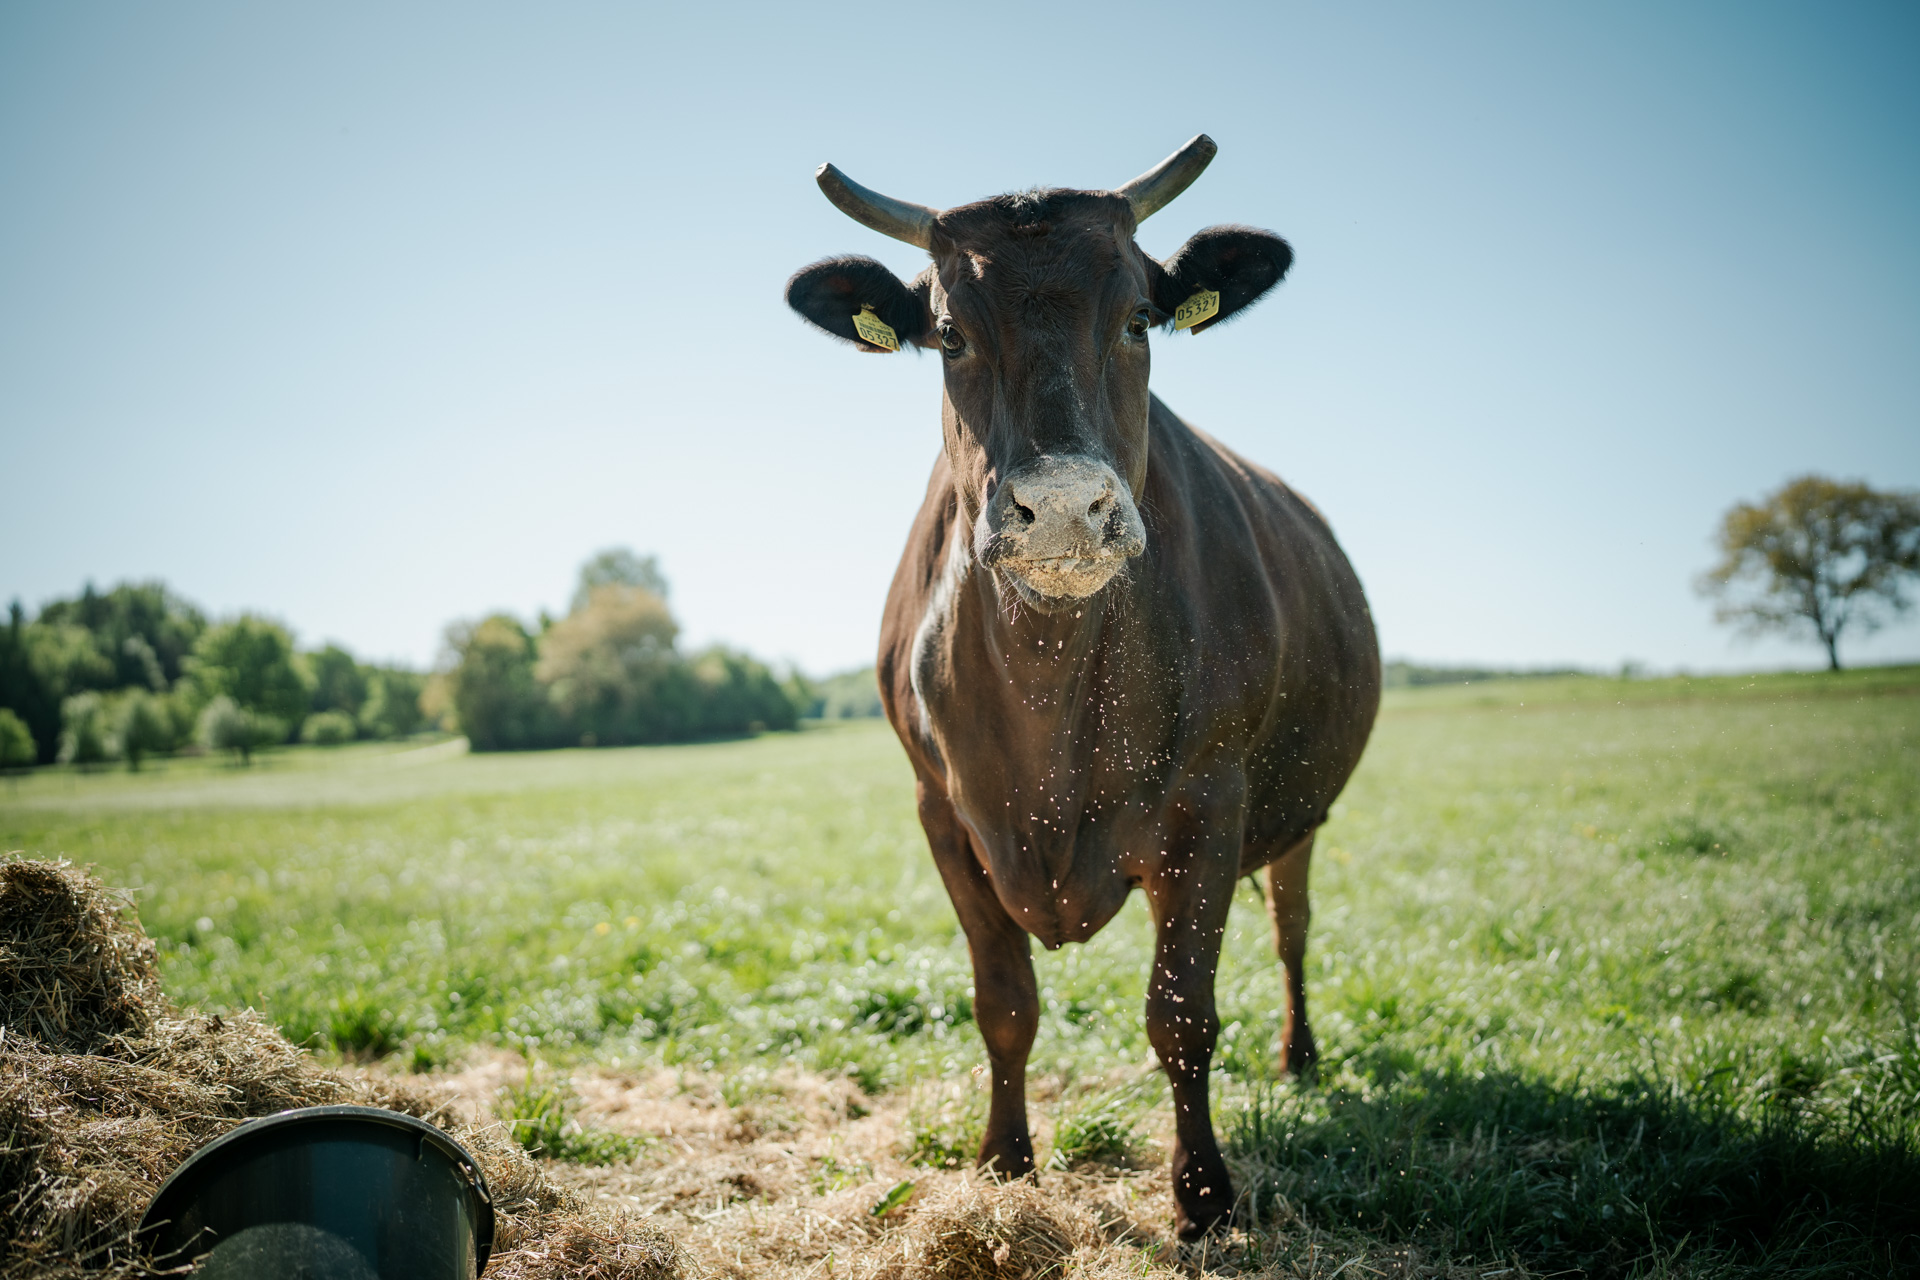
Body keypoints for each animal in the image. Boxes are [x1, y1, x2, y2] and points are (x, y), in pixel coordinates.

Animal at [785, 135, 1380, 1240]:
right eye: (947, 334)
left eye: (1139, 318)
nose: (1063, 508)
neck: (1046, 685)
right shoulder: (943, 813)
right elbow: (1003, 1001)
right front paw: (1003, 1165)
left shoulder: (1210, 804)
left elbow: (1182, 1013)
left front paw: (1203, 1197)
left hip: (1296, 816)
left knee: (1292, 928)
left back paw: (1299, 1055)